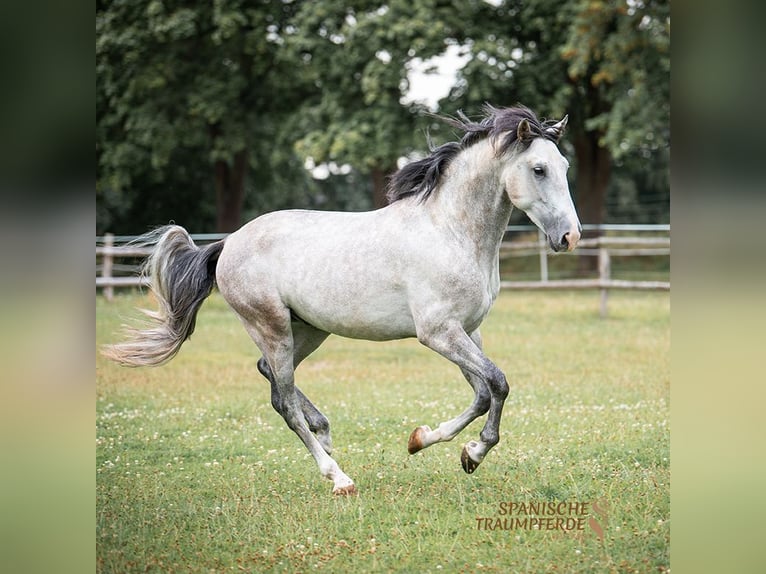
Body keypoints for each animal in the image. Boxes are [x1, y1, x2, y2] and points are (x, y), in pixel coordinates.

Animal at [103, 106, 584, 498]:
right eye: (538, 169)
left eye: (562, 165)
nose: (570, 237)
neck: (450, 231)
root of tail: (228, 243)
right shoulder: (438, 333)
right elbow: (499, 383)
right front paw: (475, 452)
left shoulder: (468, 331)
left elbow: (483, 392)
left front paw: (426, 441)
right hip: (272, 327)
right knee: (284, 401)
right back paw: (338, 476)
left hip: (309, 329)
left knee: (273, 379)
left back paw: (326, 433)